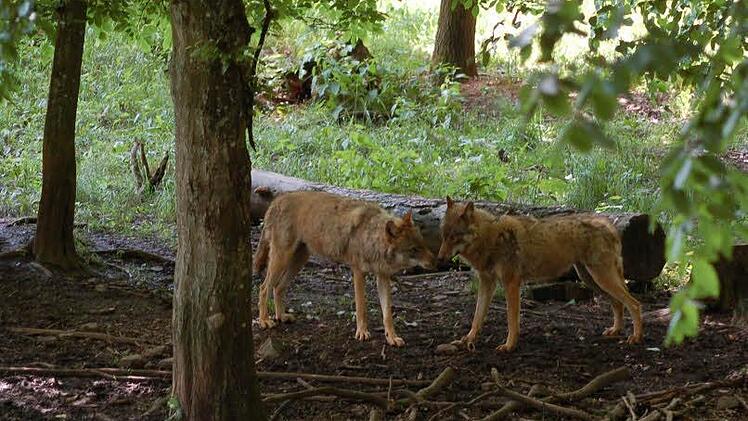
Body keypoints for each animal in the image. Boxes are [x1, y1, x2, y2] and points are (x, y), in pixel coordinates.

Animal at [254, 191, 436, 346]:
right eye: (414, 249)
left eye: (423, 244)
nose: (436, 262)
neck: (370, 236)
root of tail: (276, 200)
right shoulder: (358, 272)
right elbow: (361, 307)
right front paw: (362, 333)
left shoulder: (383, 276)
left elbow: (387, 314)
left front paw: (392, 337)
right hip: (281, 259)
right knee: (264, 288)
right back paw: (264, 320)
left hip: (298, 261)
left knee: (278, 287)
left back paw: (281, 317)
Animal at [438, 197, 643, 352]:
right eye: (444, 235)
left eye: (454, 237)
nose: (439, 258)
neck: (491, 238)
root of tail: (609, 224)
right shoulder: (487, 283)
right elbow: (477, 317)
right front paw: (468, 340)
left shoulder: (511, 284)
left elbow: (511, 320)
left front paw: (509, 346)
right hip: (592, 280)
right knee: (618, 303)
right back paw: (615, 331)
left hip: (601, 278)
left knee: (634, 304)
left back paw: (636, 337)